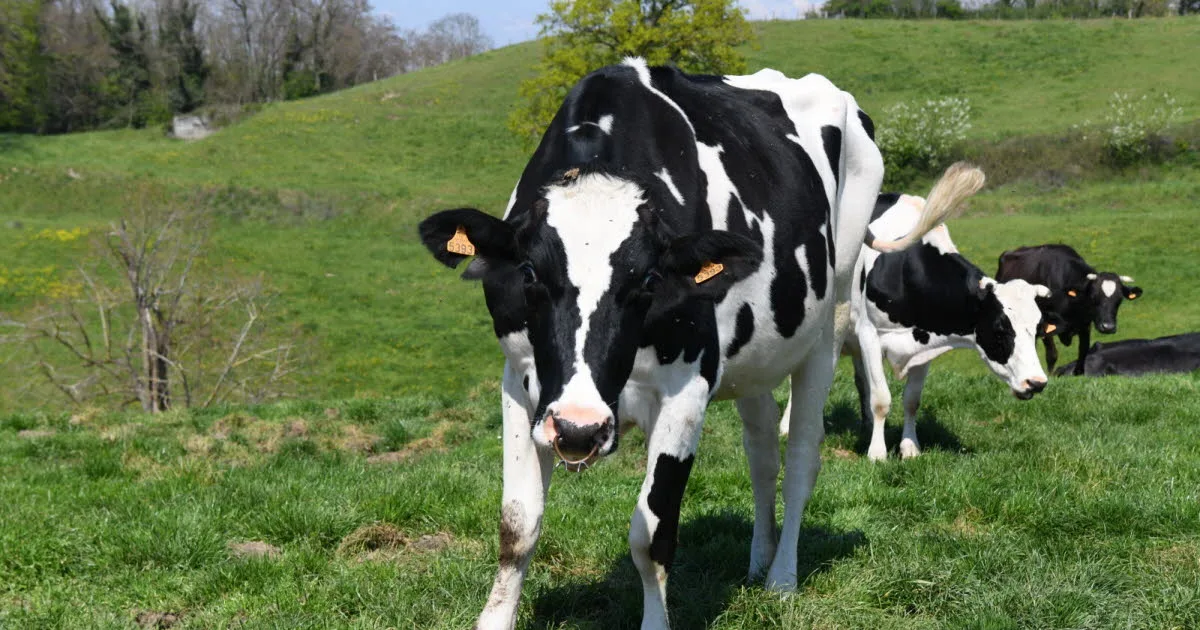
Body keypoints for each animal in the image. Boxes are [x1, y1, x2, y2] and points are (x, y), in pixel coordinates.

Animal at [418, 58, 982, 629]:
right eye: (530, 273)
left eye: (648, 280)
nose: (580, 428)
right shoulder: (522, 381)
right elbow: (517, 525)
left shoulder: (687, 385)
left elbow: (651, 535)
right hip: (756, 356)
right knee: (762, 454)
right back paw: (759, 561)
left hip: (832, 320)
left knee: (801, 458)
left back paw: (782, 578)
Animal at [828, 193, 1054, 461]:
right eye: (1000, 329)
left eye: (1038, 331)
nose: (1037, 383)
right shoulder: (869, 334)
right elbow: (881, 399)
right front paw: (877, 454)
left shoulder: (923, 345)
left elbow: (911, 400)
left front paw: (910, 448)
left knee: (862, 381)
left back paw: (867, 426)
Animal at [995, 244, 1143, 375]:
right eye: (1093, 297)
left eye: (1119, 299)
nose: (1108, 327)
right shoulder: (1045, 320)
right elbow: (1052, 355)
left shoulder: (1085, 324)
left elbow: (1083, 352)